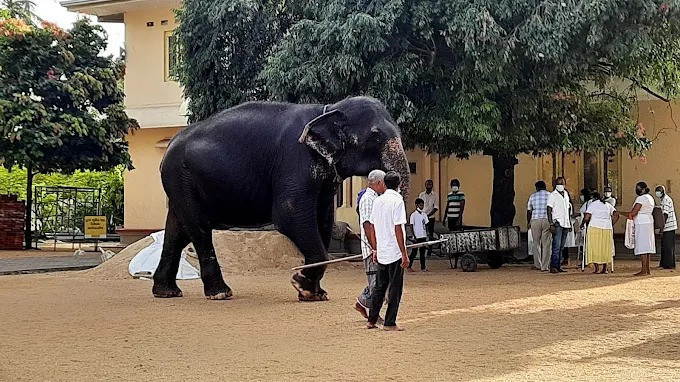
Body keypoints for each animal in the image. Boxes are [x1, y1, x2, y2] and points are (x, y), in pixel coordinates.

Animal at [153, 95, 410, 302]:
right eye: (375, 137)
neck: (328, 109)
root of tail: (168, 148)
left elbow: (323, 221)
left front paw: (315, 294)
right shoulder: (294, 160)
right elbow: (290, 215)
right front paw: (300, 283)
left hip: (180, 183)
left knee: (177, 231)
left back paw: (167, 292)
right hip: (181, 177)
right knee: (199, 229)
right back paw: (220, 294)